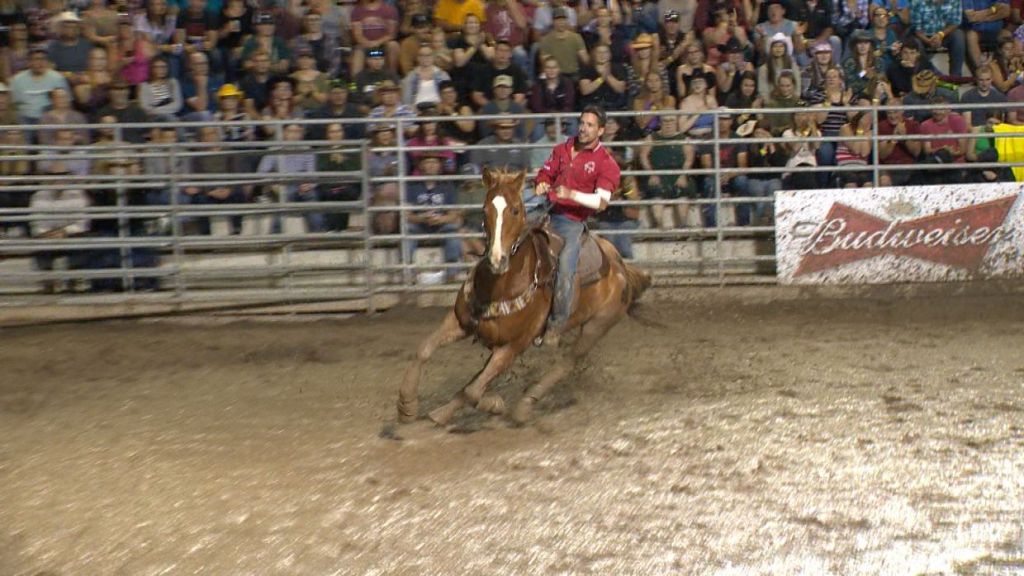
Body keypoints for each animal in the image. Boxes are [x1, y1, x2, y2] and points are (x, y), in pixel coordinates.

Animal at [395, 163, 651, 424]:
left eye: (516, 210)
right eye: (485, 209)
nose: (497, 260)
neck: (499, 287)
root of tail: (620, 266)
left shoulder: (515, 345)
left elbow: (473, 390)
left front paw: (494, 404)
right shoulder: (460, 321)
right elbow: (424, 350)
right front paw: (407, 405)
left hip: (596, 327)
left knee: (565, 364)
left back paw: (524, 406)